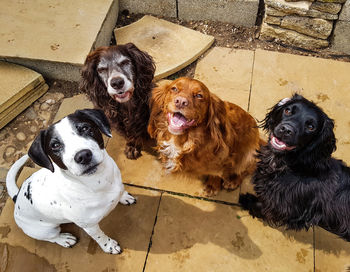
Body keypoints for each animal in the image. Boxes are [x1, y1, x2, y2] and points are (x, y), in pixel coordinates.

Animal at [6, 109, 137, 254]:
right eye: (55, 145)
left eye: (85, 128)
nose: (83, 156)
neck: (99, 182)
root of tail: (16, 197)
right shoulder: (90, 226)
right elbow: (99, 236)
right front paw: (109, 246)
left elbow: (121, 191)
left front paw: (124, 196)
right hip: (45, 231)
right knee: (52, 238)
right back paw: (64, 239)